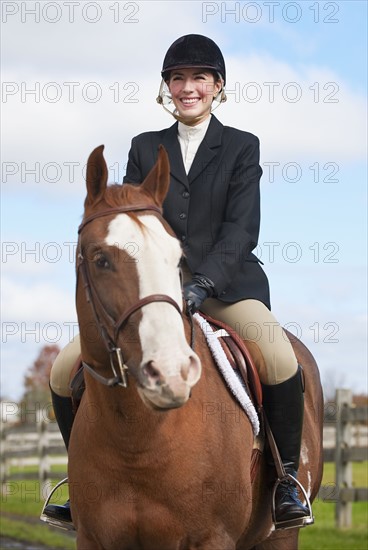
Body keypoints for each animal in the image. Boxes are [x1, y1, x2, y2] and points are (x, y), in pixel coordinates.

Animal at [68, 146, 322, 550]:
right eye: (100, 259)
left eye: (177, 258)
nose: (171, 373)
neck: (137, 442)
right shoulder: (92, 539)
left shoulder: (213, 539)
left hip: (281, 535)